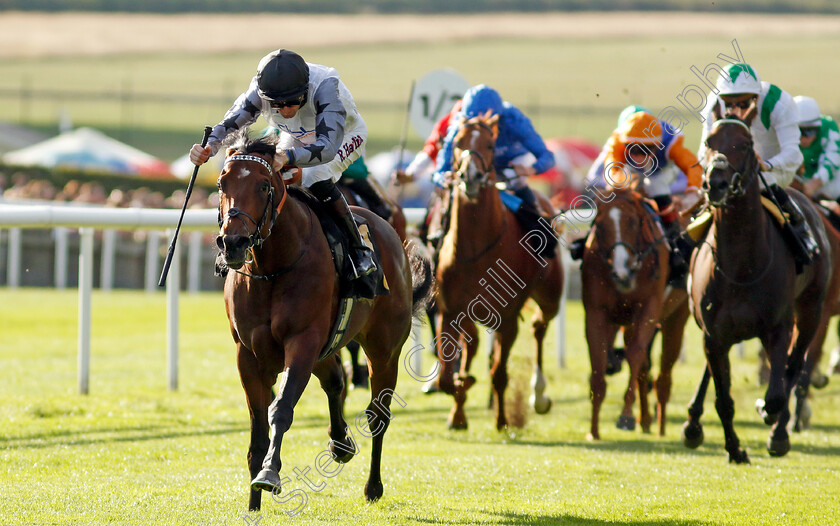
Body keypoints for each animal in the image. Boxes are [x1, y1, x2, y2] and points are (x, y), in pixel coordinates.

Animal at [213, 133, 434, 512]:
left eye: (262, 185)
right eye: (221, 184)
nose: (233, 242)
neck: (274, 267)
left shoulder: (302, 341)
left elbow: (281, 409)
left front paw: (270, 474)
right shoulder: (249, 354)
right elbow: (258, 428)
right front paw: (253, 503)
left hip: (384, 348)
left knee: (378, 414)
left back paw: (373, 486)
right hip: (326, 347)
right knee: (335, 379)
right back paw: (340, 443)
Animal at [434, 113, 564, 432]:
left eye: (490, 144)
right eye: (457, 142)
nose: (470, 176)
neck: (475, 251)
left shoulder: (507, 319)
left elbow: (499, 373)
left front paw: (503, 420)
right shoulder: (449, 312)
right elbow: (446, 378)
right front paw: (461, 392)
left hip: (550, 298)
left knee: (539, 326)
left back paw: (538, 396)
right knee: (473, 346)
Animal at [580, 186, 692, 442]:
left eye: (632, 222)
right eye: (599, 225)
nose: (622, 272)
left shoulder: (648, 307)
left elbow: (634, 354)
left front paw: (626, 416)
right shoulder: (596, 313)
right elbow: (598, 362)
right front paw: (593, 430)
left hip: (676, 318)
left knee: (662, 375)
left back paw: (660, 424)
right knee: (645, 368)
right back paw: (647, 420)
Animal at [684, 117, 832, 464]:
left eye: (744, 144)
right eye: (709, 142)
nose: (715, 183)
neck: (741, 268)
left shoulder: (778, 327)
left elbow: (777, 391)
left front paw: (768, 416)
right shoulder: (713, 334)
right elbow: (723, 399)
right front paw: (734, 449)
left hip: (812, 310)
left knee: (794, 366)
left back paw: (778, 432)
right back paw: (693, 425)